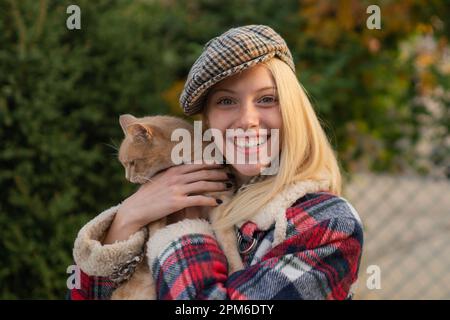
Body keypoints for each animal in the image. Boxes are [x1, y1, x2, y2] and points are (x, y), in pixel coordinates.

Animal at [111, 114, 244, 300]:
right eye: (125, 164)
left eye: (132, 163)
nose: (128, 179)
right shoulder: (159, 213)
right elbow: (156, 236)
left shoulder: (220, 202)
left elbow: (229, 242)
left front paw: (237, 269)